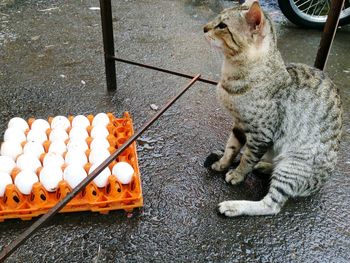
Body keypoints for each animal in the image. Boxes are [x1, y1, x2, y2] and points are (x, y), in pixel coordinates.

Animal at [202, 1, 342, 218]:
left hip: (292, 165)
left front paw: (237, 174)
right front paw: (224, 162)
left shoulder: (261, 134)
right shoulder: (239, 124)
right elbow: (231, 147)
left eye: (222, 26)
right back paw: (265, 165)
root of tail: (319, 184)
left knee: (271, 205)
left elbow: (247, 159)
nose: (204, 28)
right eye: (217, 20)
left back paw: (233, 206)